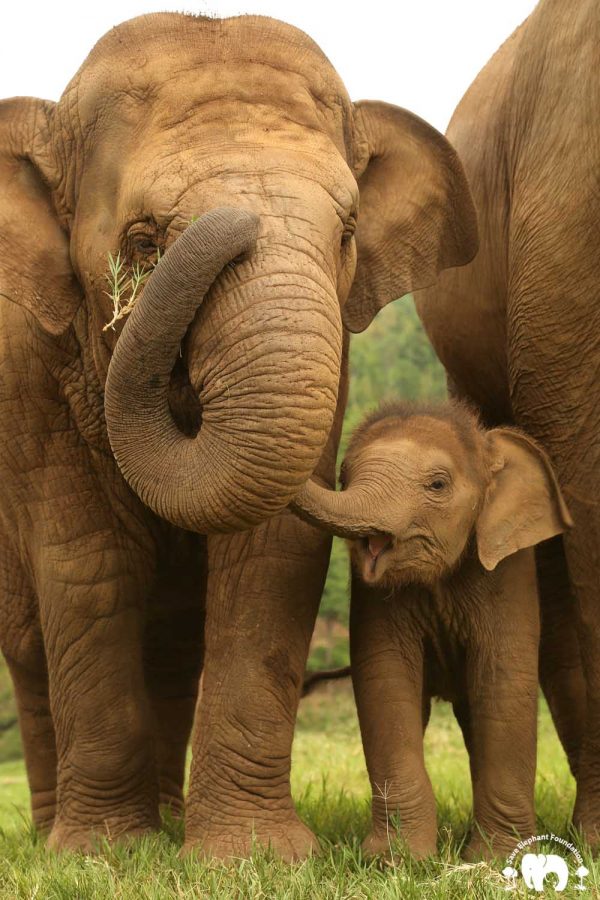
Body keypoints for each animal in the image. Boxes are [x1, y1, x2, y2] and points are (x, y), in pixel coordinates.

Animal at [1, 12, 478, 856]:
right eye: (143, 240)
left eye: (347, 230)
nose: (235, 221)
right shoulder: (33, 368)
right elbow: (90, 561)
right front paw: (103, 855)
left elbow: (274, 554)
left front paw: (249, 856)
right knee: (31, 643)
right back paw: (63, 833)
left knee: (170, 643)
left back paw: (167, 823)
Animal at [294, 404, 572, 860]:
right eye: (343, 477)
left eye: (438, 484)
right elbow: (386, 680)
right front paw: (395, 861)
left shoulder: (508, 573)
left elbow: (504, 682)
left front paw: (495, 861)